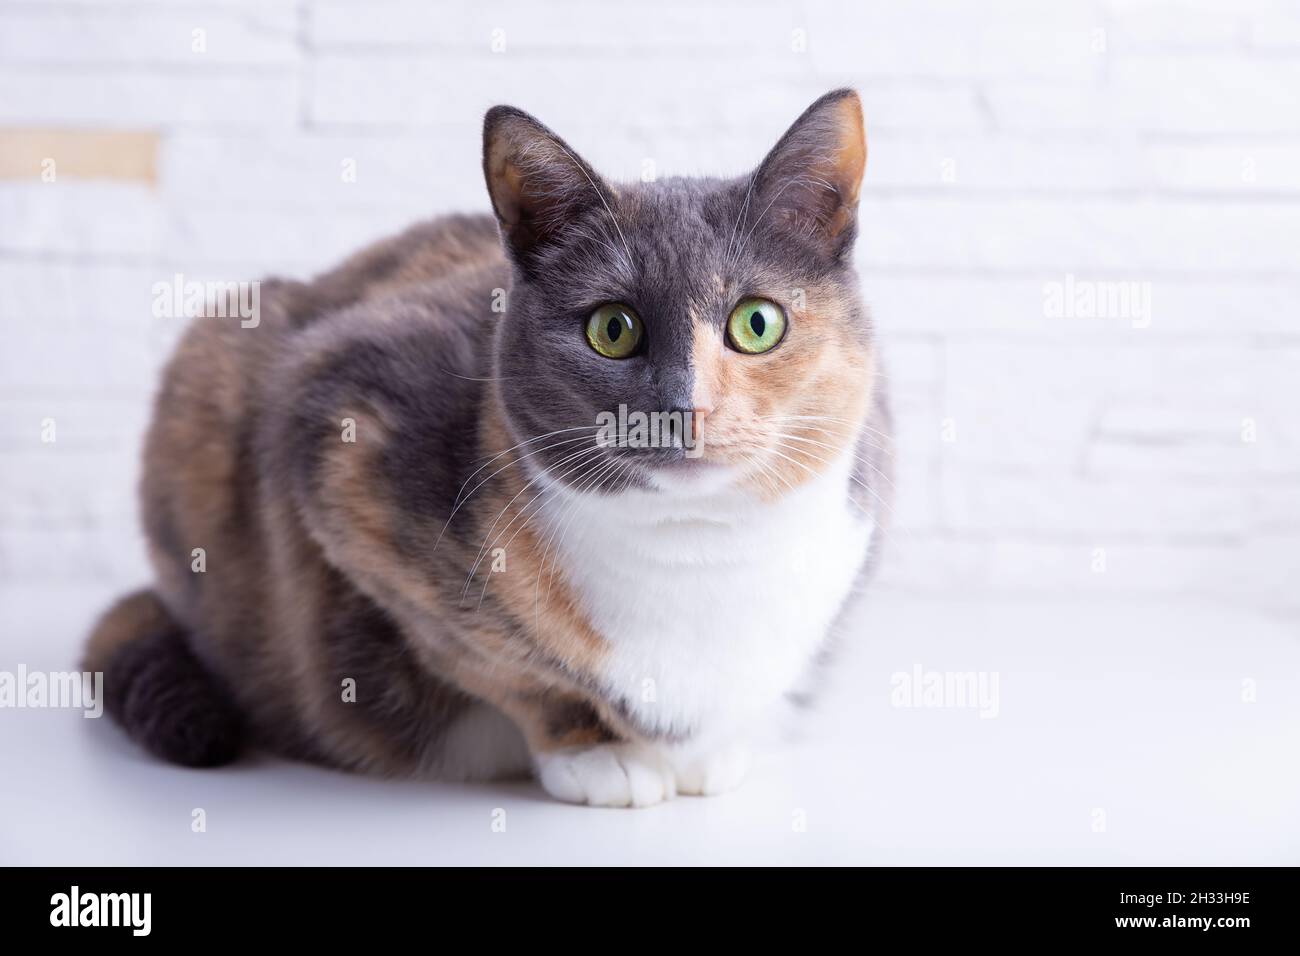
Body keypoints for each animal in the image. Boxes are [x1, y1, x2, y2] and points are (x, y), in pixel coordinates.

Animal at [83, 89, 894, 806]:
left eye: (757, 323)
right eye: (613, 328)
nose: (681, 410)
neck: (696, 552)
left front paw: (705, 751)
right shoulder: (340, 438)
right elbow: (507, 667)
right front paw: (598, 754)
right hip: (213, 358)